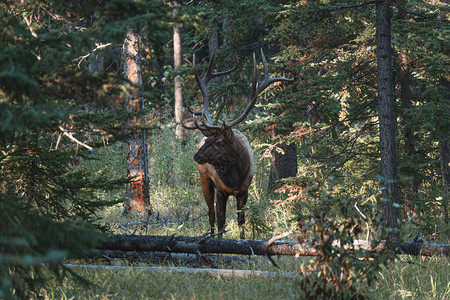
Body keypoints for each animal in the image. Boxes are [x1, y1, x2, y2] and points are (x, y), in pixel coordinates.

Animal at [182, 49, 292, 239]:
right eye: (208, 140)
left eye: (218, 141)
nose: (196, 156)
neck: (234, 178)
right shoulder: (221, 190)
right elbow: (221, 221)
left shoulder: (244, 191)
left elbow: (241, 222)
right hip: (204, 178)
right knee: (210, 214)